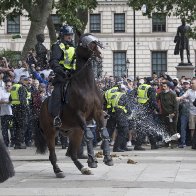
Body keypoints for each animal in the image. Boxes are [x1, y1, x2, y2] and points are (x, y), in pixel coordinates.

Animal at [34, 33, 113, 178]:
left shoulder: (98, 112)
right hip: (50, 133)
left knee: (72, 153)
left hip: (76, 131)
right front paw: (92, 160)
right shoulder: (79, 114)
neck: (86, 85)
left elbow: (104, 133)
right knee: (52, 155)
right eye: (86, 43)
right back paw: (58, 171)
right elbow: (89, 135)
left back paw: (83, 169)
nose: (100, 53)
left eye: (96, 41)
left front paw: (108, 158)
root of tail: (42, 108)